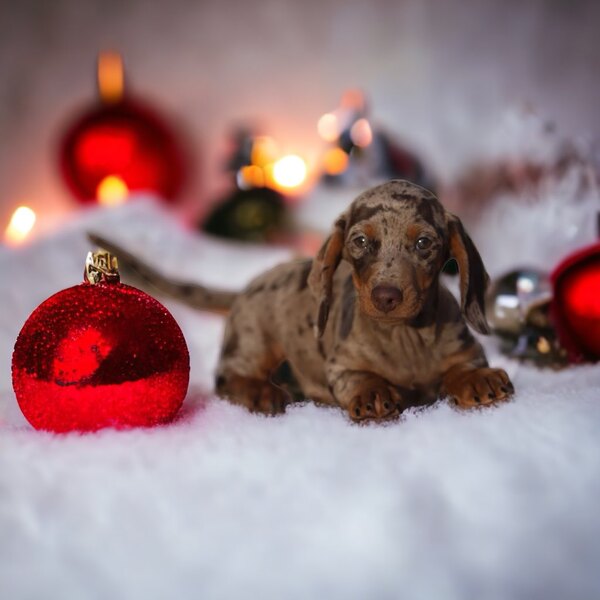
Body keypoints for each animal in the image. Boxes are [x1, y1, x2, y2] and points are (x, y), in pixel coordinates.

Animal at [89, 180, 510, 420]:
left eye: (424, 243)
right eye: (360, 241)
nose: (386, 296)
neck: (406, 337)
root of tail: (246, 286)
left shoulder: (465, 349)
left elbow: (464, 367)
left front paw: (477, 379)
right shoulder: (341, 365)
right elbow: (360, 377)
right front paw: (373, 392)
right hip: (257, 342)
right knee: (228, 377)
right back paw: (262, 392)